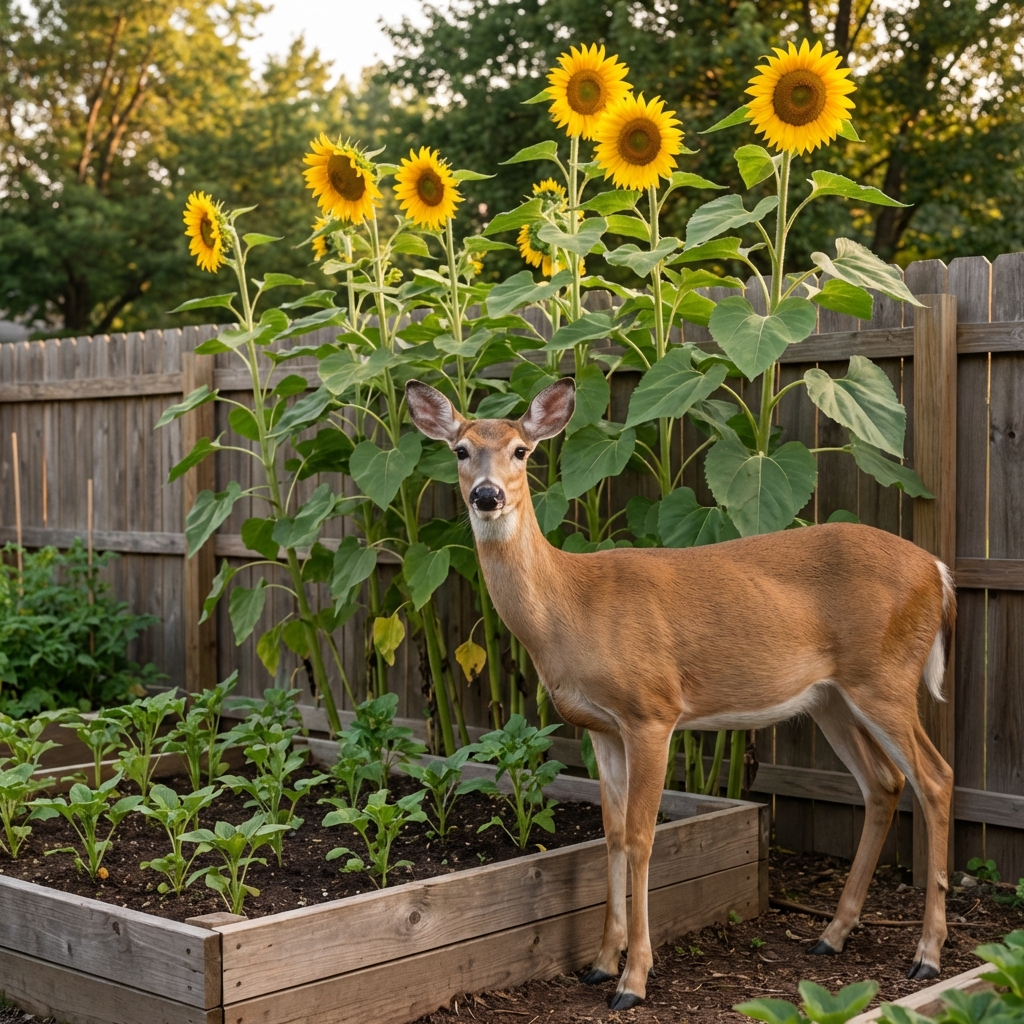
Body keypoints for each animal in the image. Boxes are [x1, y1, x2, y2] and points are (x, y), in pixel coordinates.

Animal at [405, 376, 956, 1011]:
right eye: (461, 450)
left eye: (521, 451)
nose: (487, 495)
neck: (570, 608)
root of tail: (938, 570)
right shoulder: (600, 727)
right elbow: (612, 835)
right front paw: (599, 964)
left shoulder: (651, 710)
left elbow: (644, 837)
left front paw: (633, 980)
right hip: (831, 698)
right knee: (883, 784)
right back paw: (831, 936)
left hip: (884, 676)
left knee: (935, 777)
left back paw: (926, 954)